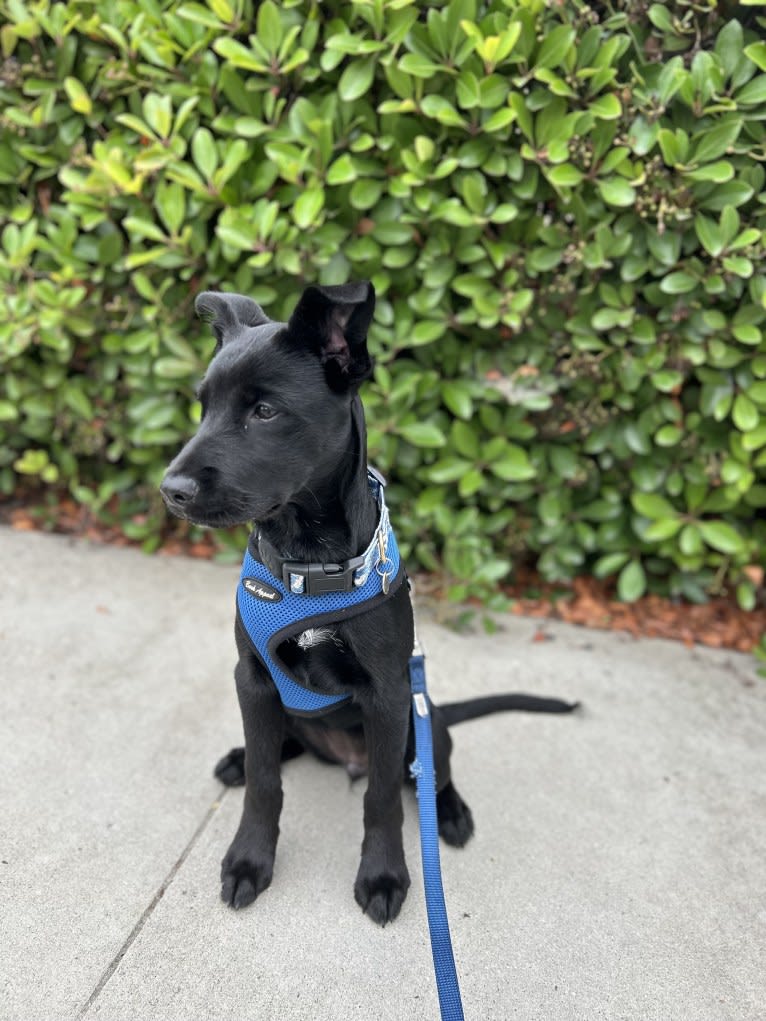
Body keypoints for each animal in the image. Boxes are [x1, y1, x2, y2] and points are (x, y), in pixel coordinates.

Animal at [162, 281, 576, 927]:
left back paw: (451, 812)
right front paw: (249, 859)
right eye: (202, 407)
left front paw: (383, 875)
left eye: (265, 411)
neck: (307, 564)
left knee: (431, 773)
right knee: (276, 748)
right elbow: (264, 781)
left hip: (423, 716)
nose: (170, 492)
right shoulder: (251, 679)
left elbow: (384, 799)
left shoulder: (387, 695)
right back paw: (239, 754)